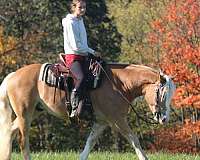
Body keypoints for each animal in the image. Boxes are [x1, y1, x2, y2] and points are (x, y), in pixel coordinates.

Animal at [0, 61, 175, 160]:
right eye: (163, 94)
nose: (164, 119)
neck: (120, 84)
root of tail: (13, 75)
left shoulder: (102, 122)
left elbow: (90, 143)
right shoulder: (117, 119)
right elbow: (134, 139)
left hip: (34, 111)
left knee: (9, 132)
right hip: (25, 114)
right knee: (23, 142)